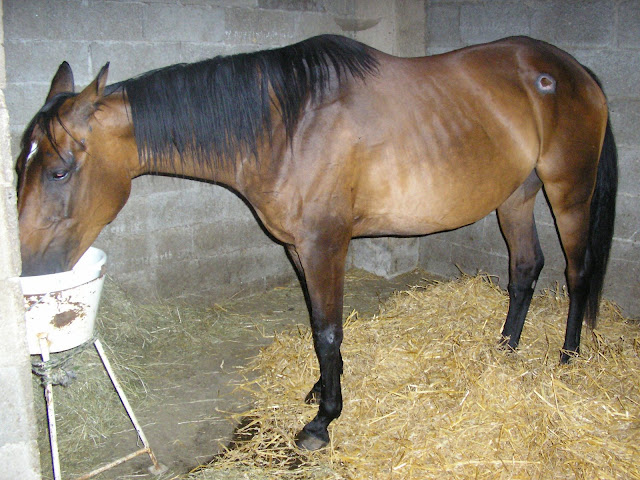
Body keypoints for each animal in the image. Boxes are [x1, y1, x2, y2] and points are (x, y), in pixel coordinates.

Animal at [16, 35, 617, 450]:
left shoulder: (326, 243)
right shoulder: (297, 247)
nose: (29, 269)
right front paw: (319, 390)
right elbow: (318, 324)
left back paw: (567, 358)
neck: (287, 124)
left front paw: (323, 420)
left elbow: (328, 329)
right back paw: (505, 349)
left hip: (568, 191)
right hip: (516, 196)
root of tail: (573, 70)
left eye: (59, 172)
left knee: (576, 272)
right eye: (24, 163)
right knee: (525, 268)